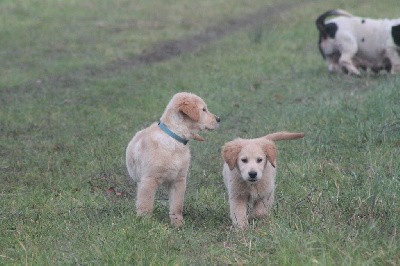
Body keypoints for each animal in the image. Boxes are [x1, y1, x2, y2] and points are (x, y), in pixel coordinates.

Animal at [126, 92, 220, 227]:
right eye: (203, 109)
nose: (219, 119)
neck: (174, 139)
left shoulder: (179, 180)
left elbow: (177, 205)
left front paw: (178, 223)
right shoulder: (149, 179)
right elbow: (146, 204)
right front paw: (145, 222)